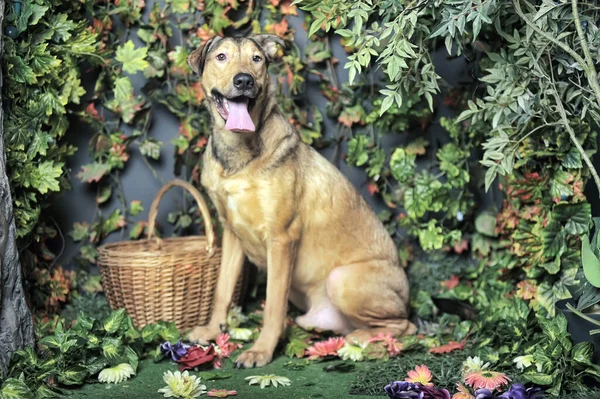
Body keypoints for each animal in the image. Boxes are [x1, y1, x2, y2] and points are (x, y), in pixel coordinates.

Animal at [185, 34, 414, 368]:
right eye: (221, 57)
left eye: (257, 59)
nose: (244, 81)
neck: (238, 154)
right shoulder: (231, 234)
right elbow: (222, 291)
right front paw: (213, 329)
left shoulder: (282, 239)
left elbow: (272, 304)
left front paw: (261, 350)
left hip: (343, 280)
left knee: (404, 326)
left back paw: (361, 339)